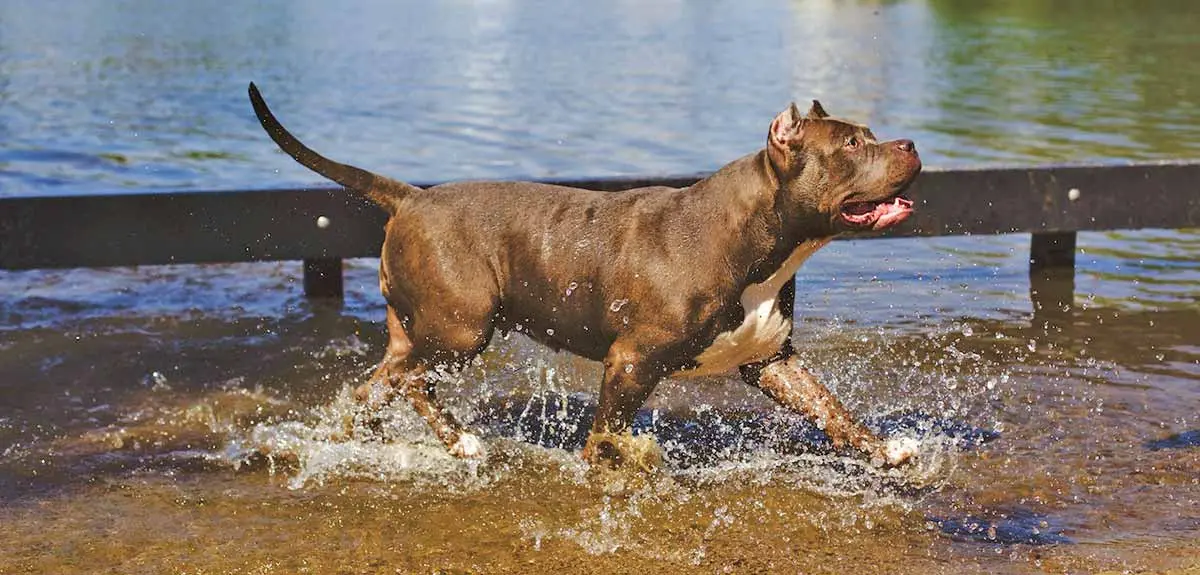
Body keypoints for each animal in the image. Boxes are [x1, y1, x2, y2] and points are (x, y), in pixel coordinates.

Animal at [248, 83, 921, 470]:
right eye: (853, 145)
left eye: (871, 136)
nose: (911, 143)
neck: (760, 237)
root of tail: (412, 198)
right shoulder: (630, 360)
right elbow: (608, 433)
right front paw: (618, 463)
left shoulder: (771, 360)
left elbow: (833, 410)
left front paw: (886, 449)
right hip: (463, 329)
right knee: (416, 382)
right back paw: (462, 443)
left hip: (421, 333)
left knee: (379, 385)